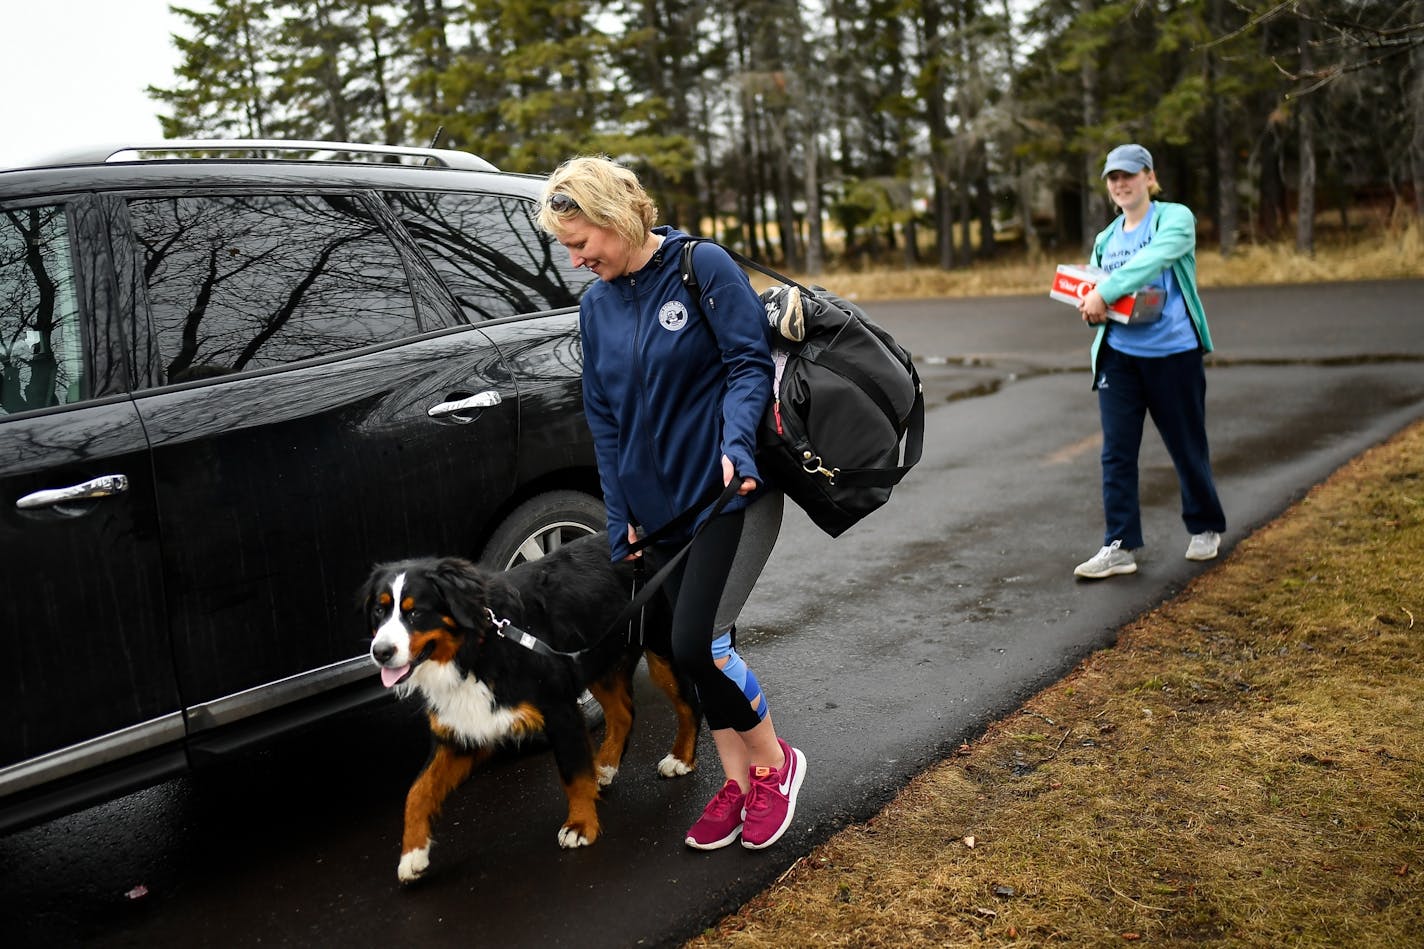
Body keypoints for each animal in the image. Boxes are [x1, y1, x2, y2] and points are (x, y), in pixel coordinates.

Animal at [361, 527, 700, 883]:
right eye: (379, 612)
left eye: (415, 612)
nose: (380, 652)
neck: (478, 647)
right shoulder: (463, 728)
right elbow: (417, 792)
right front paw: (413, 854)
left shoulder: (559, 709)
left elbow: (572, 773)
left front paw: (581, 825)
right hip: (594, 658)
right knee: (622, 713)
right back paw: (604, 766)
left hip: (663, 646)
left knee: (689, 704)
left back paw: (680, 758)